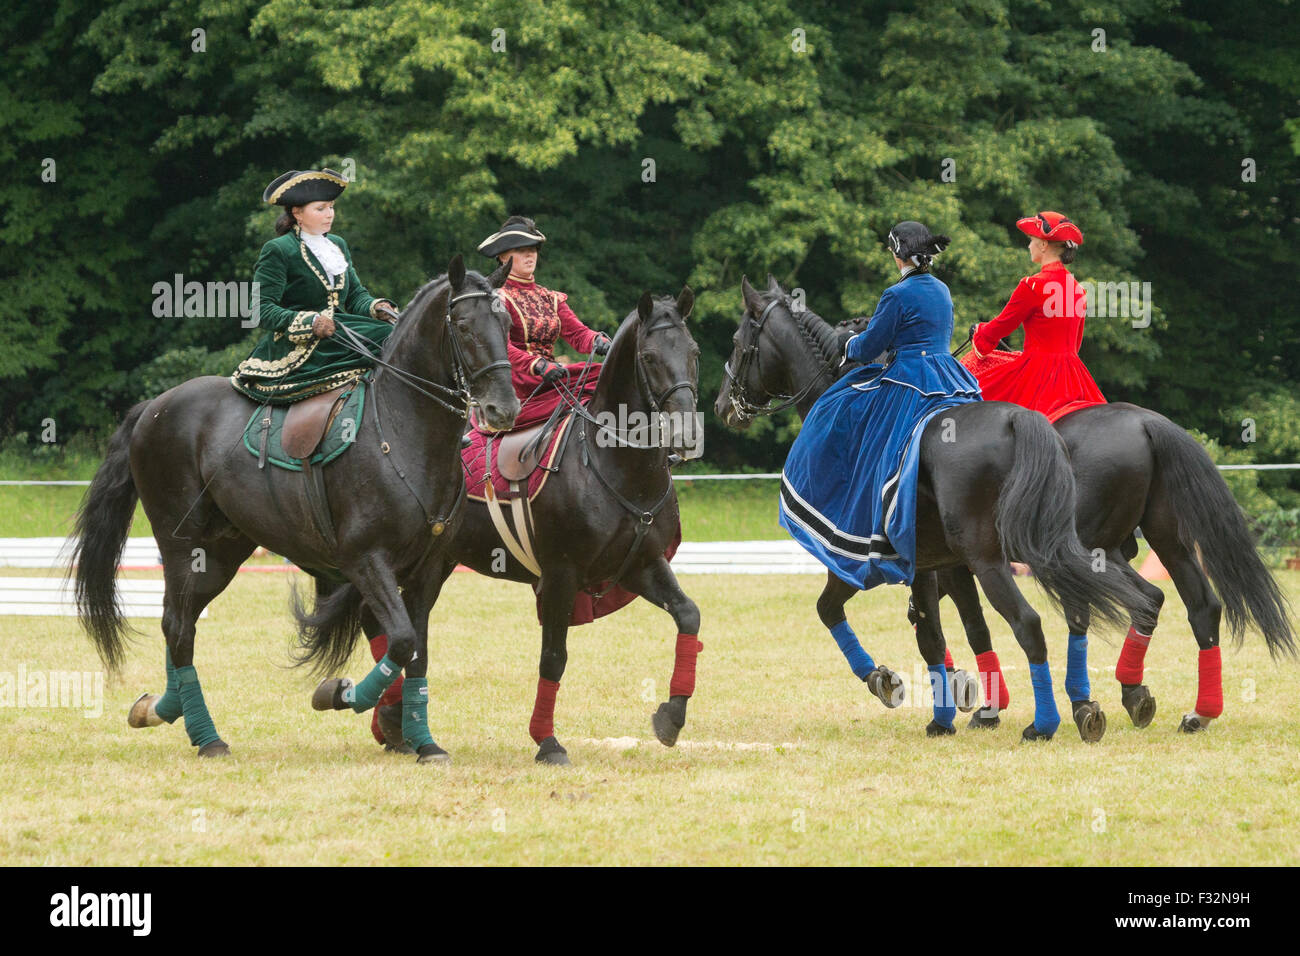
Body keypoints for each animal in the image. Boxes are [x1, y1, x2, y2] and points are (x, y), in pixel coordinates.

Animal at [70, 255, 519, 762]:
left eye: (506, 323)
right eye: (463, 325)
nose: (503, 410)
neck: (402, 431)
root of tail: (154, 407)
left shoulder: (429, 569)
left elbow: (417, 650)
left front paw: (424, 743)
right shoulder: (365, 560)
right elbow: (402, 641)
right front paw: (339, 694)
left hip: (221, 554)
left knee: (178, 624)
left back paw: (161, 709)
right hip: (182, 544)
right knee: (179, 627)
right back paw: (208, 738)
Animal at [308, 289, 703, 764]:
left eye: (694, 352)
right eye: (648, 356)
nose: (686, 432)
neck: (610, 461)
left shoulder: (639, 564)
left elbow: (688, 615)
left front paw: (672, 716)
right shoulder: (561, 575)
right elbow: (553, 657)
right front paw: (547, 741)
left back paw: (393, 722)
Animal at [715, 275, 1160, 741]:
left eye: (738, 341)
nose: (723, 406)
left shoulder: (876, 560)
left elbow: (855, 614)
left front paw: (894, 685)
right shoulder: (943, 565)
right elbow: (960, 628)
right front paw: (973, 700)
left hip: (1001, 560)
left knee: (1035, 622)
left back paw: (1050, 720)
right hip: (1085, 552)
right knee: (1143, 598)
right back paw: (1114, 699)